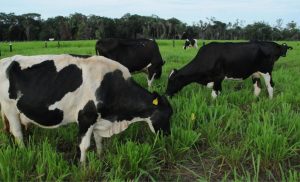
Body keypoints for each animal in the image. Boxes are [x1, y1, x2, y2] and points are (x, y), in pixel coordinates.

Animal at [0, 54, 172, 164]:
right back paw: (24, 152)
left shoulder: (98, 119)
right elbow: (84, 145)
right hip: (10, 109)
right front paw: (82, 166)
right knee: (17, 133)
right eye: (167, 116)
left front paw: (101, 156)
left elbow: (99, 139)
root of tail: (5, 60)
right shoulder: (86, 117)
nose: (168, 136)